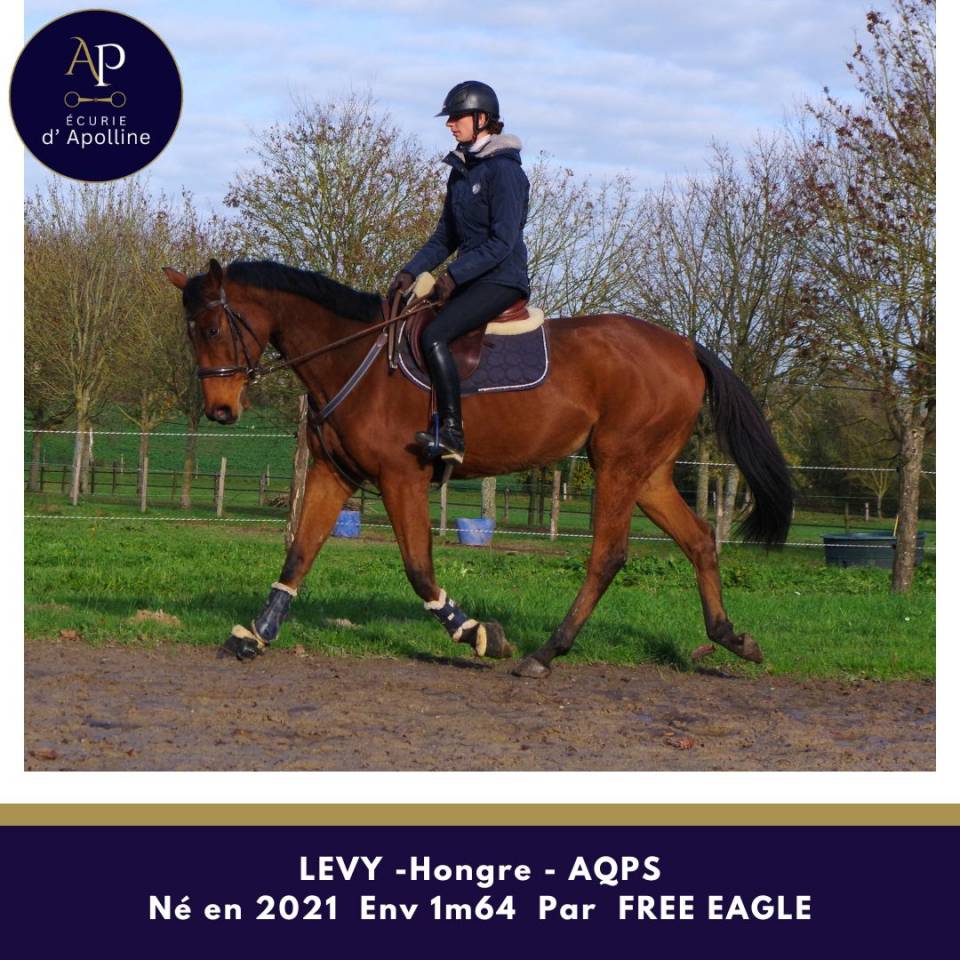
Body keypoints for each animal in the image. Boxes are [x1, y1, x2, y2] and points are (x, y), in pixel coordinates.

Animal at [163, 258, 792, 678]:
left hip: (617, 464)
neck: (352, 355)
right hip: (650, 473)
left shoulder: (402, 479)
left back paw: (547, 651)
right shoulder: (333, 474)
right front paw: (254, 635)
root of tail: (685, 346)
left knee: (608, 556)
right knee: (700, 539)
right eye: (189, 333)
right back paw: (730, 637)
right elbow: (298, 553)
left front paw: (479, 634)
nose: (221, 411)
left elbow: (419, 570)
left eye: (213, 329)